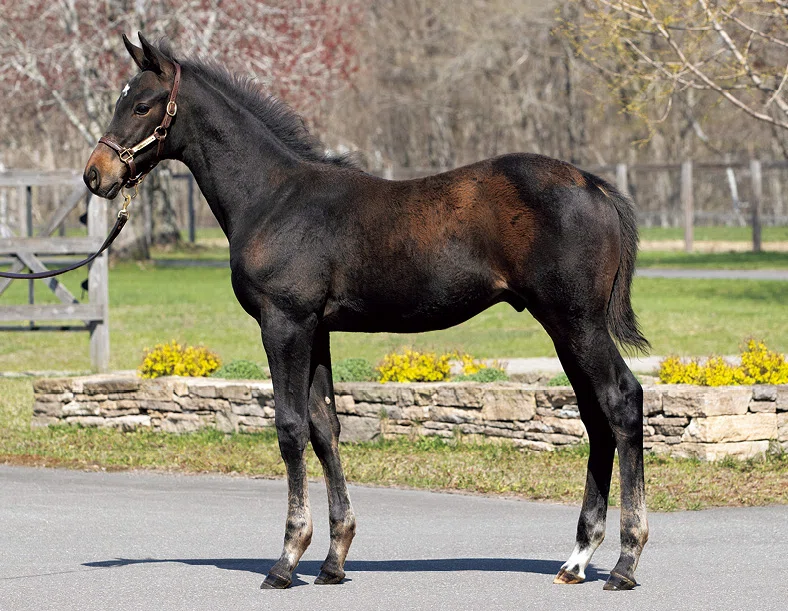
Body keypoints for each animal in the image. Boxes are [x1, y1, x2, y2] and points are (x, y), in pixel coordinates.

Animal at [84, 34, 650, 592]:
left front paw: (286, 559)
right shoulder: (317, 330)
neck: (273, 196)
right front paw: (333, 559)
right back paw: (577, 558)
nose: (96, 174)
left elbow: (290, 427)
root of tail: (594, 185)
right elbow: (324, 426)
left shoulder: (284, 323)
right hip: (562, 327)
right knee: (595, 417)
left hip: (576, 322)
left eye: (140, 105)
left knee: (622, 400)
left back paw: (625, 562)